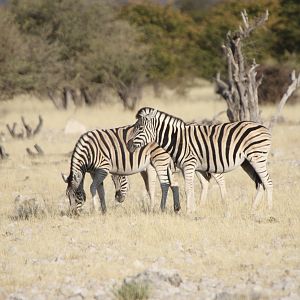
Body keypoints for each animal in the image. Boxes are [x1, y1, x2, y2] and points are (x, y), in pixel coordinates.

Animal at [127, 106, 274, 212]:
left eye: (140, 128)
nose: (128, 145)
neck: (177, 139)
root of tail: (264, 127)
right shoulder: (185, 167)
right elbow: (188, 188)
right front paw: (192, 209)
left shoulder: (189, 164)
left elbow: (188, 188)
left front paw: (188, 211)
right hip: (247, 163)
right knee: (260, 183)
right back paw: (253, 208)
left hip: (257, 157)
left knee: (267, 182)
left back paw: (268, 209)